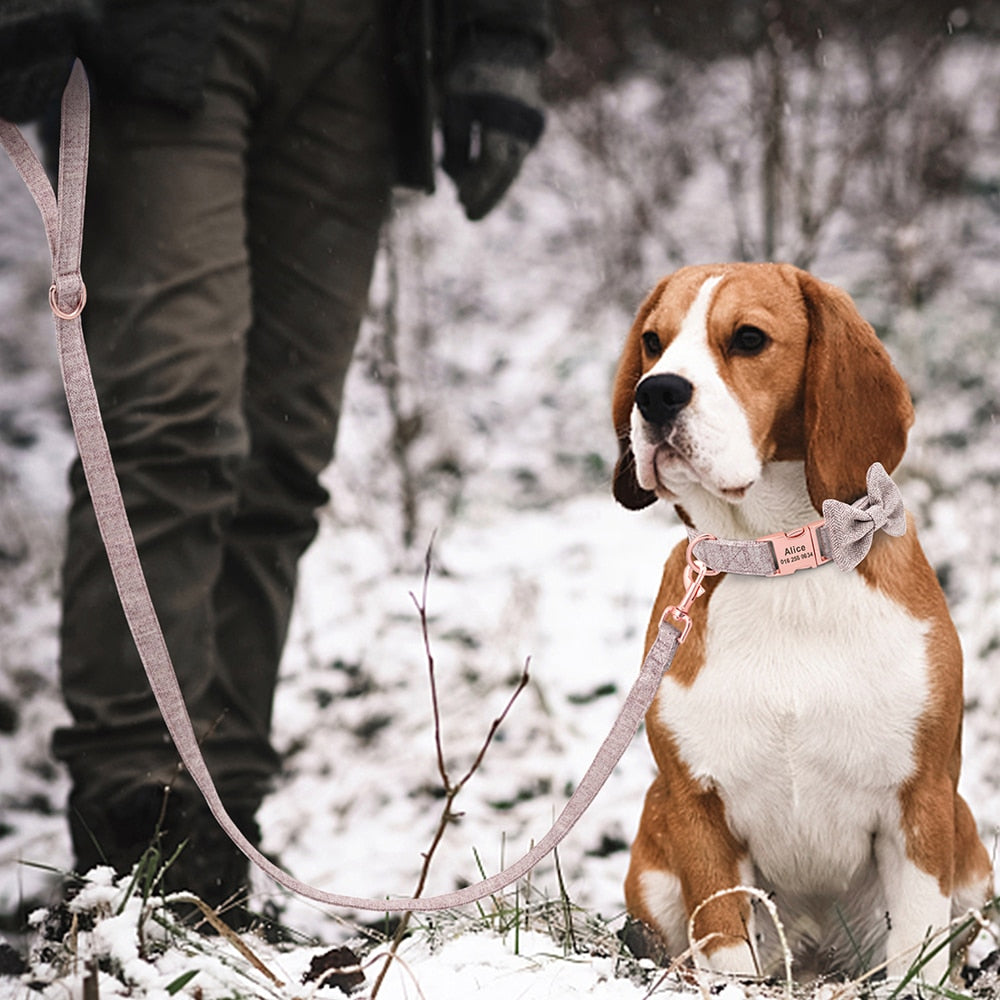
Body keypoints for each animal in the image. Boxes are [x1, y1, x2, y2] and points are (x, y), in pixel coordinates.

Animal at [612, 262, 988, 980]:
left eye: (748, 338)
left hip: (970, 848)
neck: (779, 562)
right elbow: (725, 945)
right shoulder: (697, 809)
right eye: (652, 342)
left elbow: (916, 949)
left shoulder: (922, 802)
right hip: (653, 842)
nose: (655, 394)